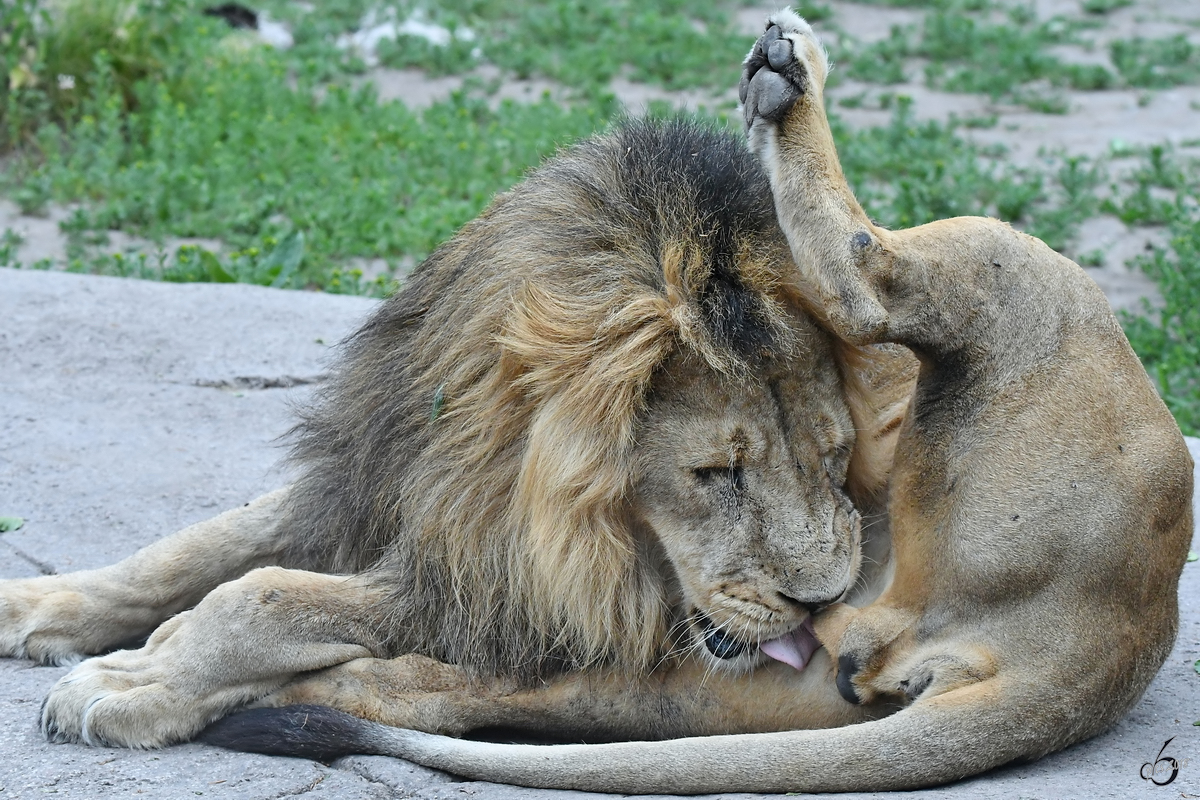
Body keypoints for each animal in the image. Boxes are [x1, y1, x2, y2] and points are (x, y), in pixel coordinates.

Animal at [2, 117, 916, 753]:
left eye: (837, 459)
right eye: (716, 475)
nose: (824, 603)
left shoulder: (491, 592)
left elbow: (262, 597)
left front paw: (137, 679)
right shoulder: (380, 482)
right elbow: (195, 549)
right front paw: (39, 605)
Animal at [192, 7, 1195, 796]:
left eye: (838, 459)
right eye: (716, 475)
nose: (814, 591)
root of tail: (1096, 653)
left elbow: (281, 593)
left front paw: (171, 670)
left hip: (1012, 272)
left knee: (870, 277)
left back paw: (790, 71)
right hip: (737, 683)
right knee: (491, 694)